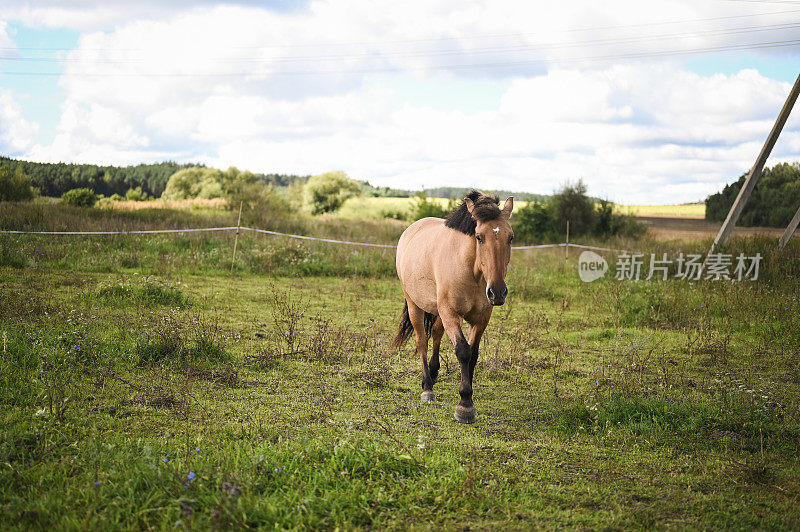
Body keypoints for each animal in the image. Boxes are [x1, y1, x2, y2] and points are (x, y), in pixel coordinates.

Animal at [392, 190, 516, 424]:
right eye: (479, 237)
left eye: (510, 237)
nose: (497, 292)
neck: (470, 271)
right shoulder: (450, 312)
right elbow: (463, 351)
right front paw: (465, 405)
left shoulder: (481, 318)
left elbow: (473, 354)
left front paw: (467, 394)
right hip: (414, 305)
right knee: (422, 340)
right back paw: (427, 387)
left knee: (436, 333)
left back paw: (433, 373)